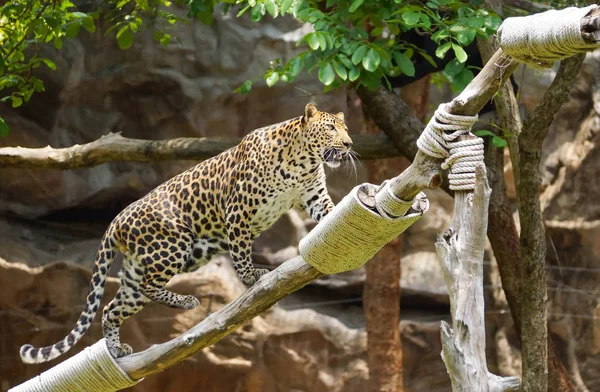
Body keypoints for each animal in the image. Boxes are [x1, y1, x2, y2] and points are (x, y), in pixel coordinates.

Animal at [19, 102, 352, 362]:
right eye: (331, 129)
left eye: (345, 129)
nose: (349, 144)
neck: (303, 161)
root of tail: (116, 219)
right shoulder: (238, 209)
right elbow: (241, 249)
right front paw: (250, 277)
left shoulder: (313, 195)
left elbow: (329, 212)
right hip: (174, 245)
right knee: (148, 287)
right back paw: (188, 302)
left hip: (137, 268)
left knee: (112, 308)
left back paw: (116, 349)